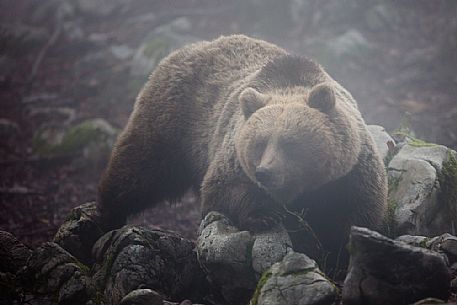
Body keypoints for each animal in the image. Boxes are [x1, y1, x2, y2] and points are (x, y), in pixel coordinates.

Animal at [98, 34, 386, 264]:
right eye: (260, 143)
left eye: (290, 143)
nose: (265, 173)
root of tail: (191, 47)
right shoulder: (232, 154)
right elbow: (222, 192)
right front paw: (265, 215)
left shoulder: (349, 174)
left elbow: (356, 216)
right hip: (173, 122)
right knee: (140, 169)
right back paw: (108, 215)